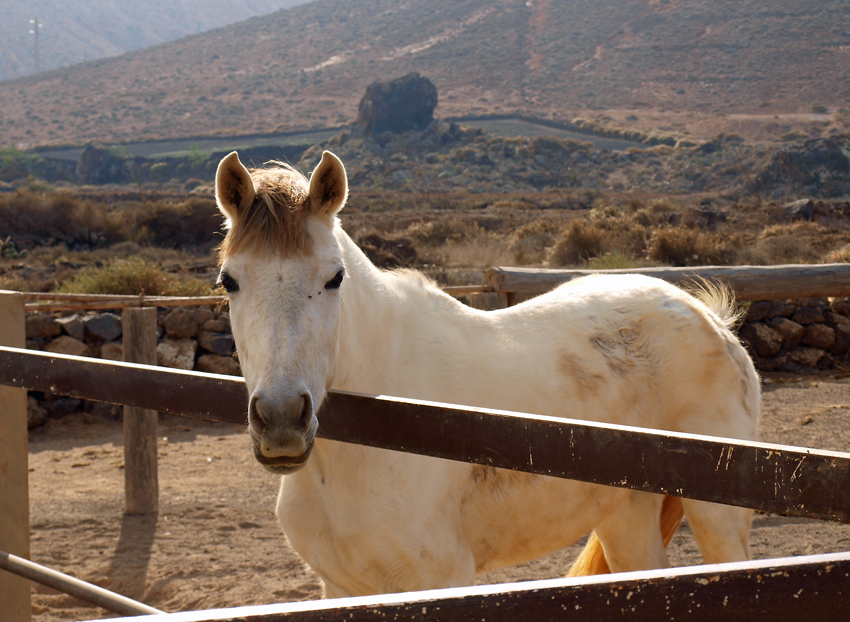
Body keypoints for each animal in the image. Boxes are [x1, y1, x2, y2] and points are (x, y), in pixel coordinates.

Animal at [215, 150, 760, 600]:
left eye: (334, 277)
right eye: (228, 281)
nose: (281, 419)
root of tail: (708, 316)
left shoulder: (439, 580)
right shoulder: (341, 587)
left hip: (718, 521)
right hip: (625, 515)